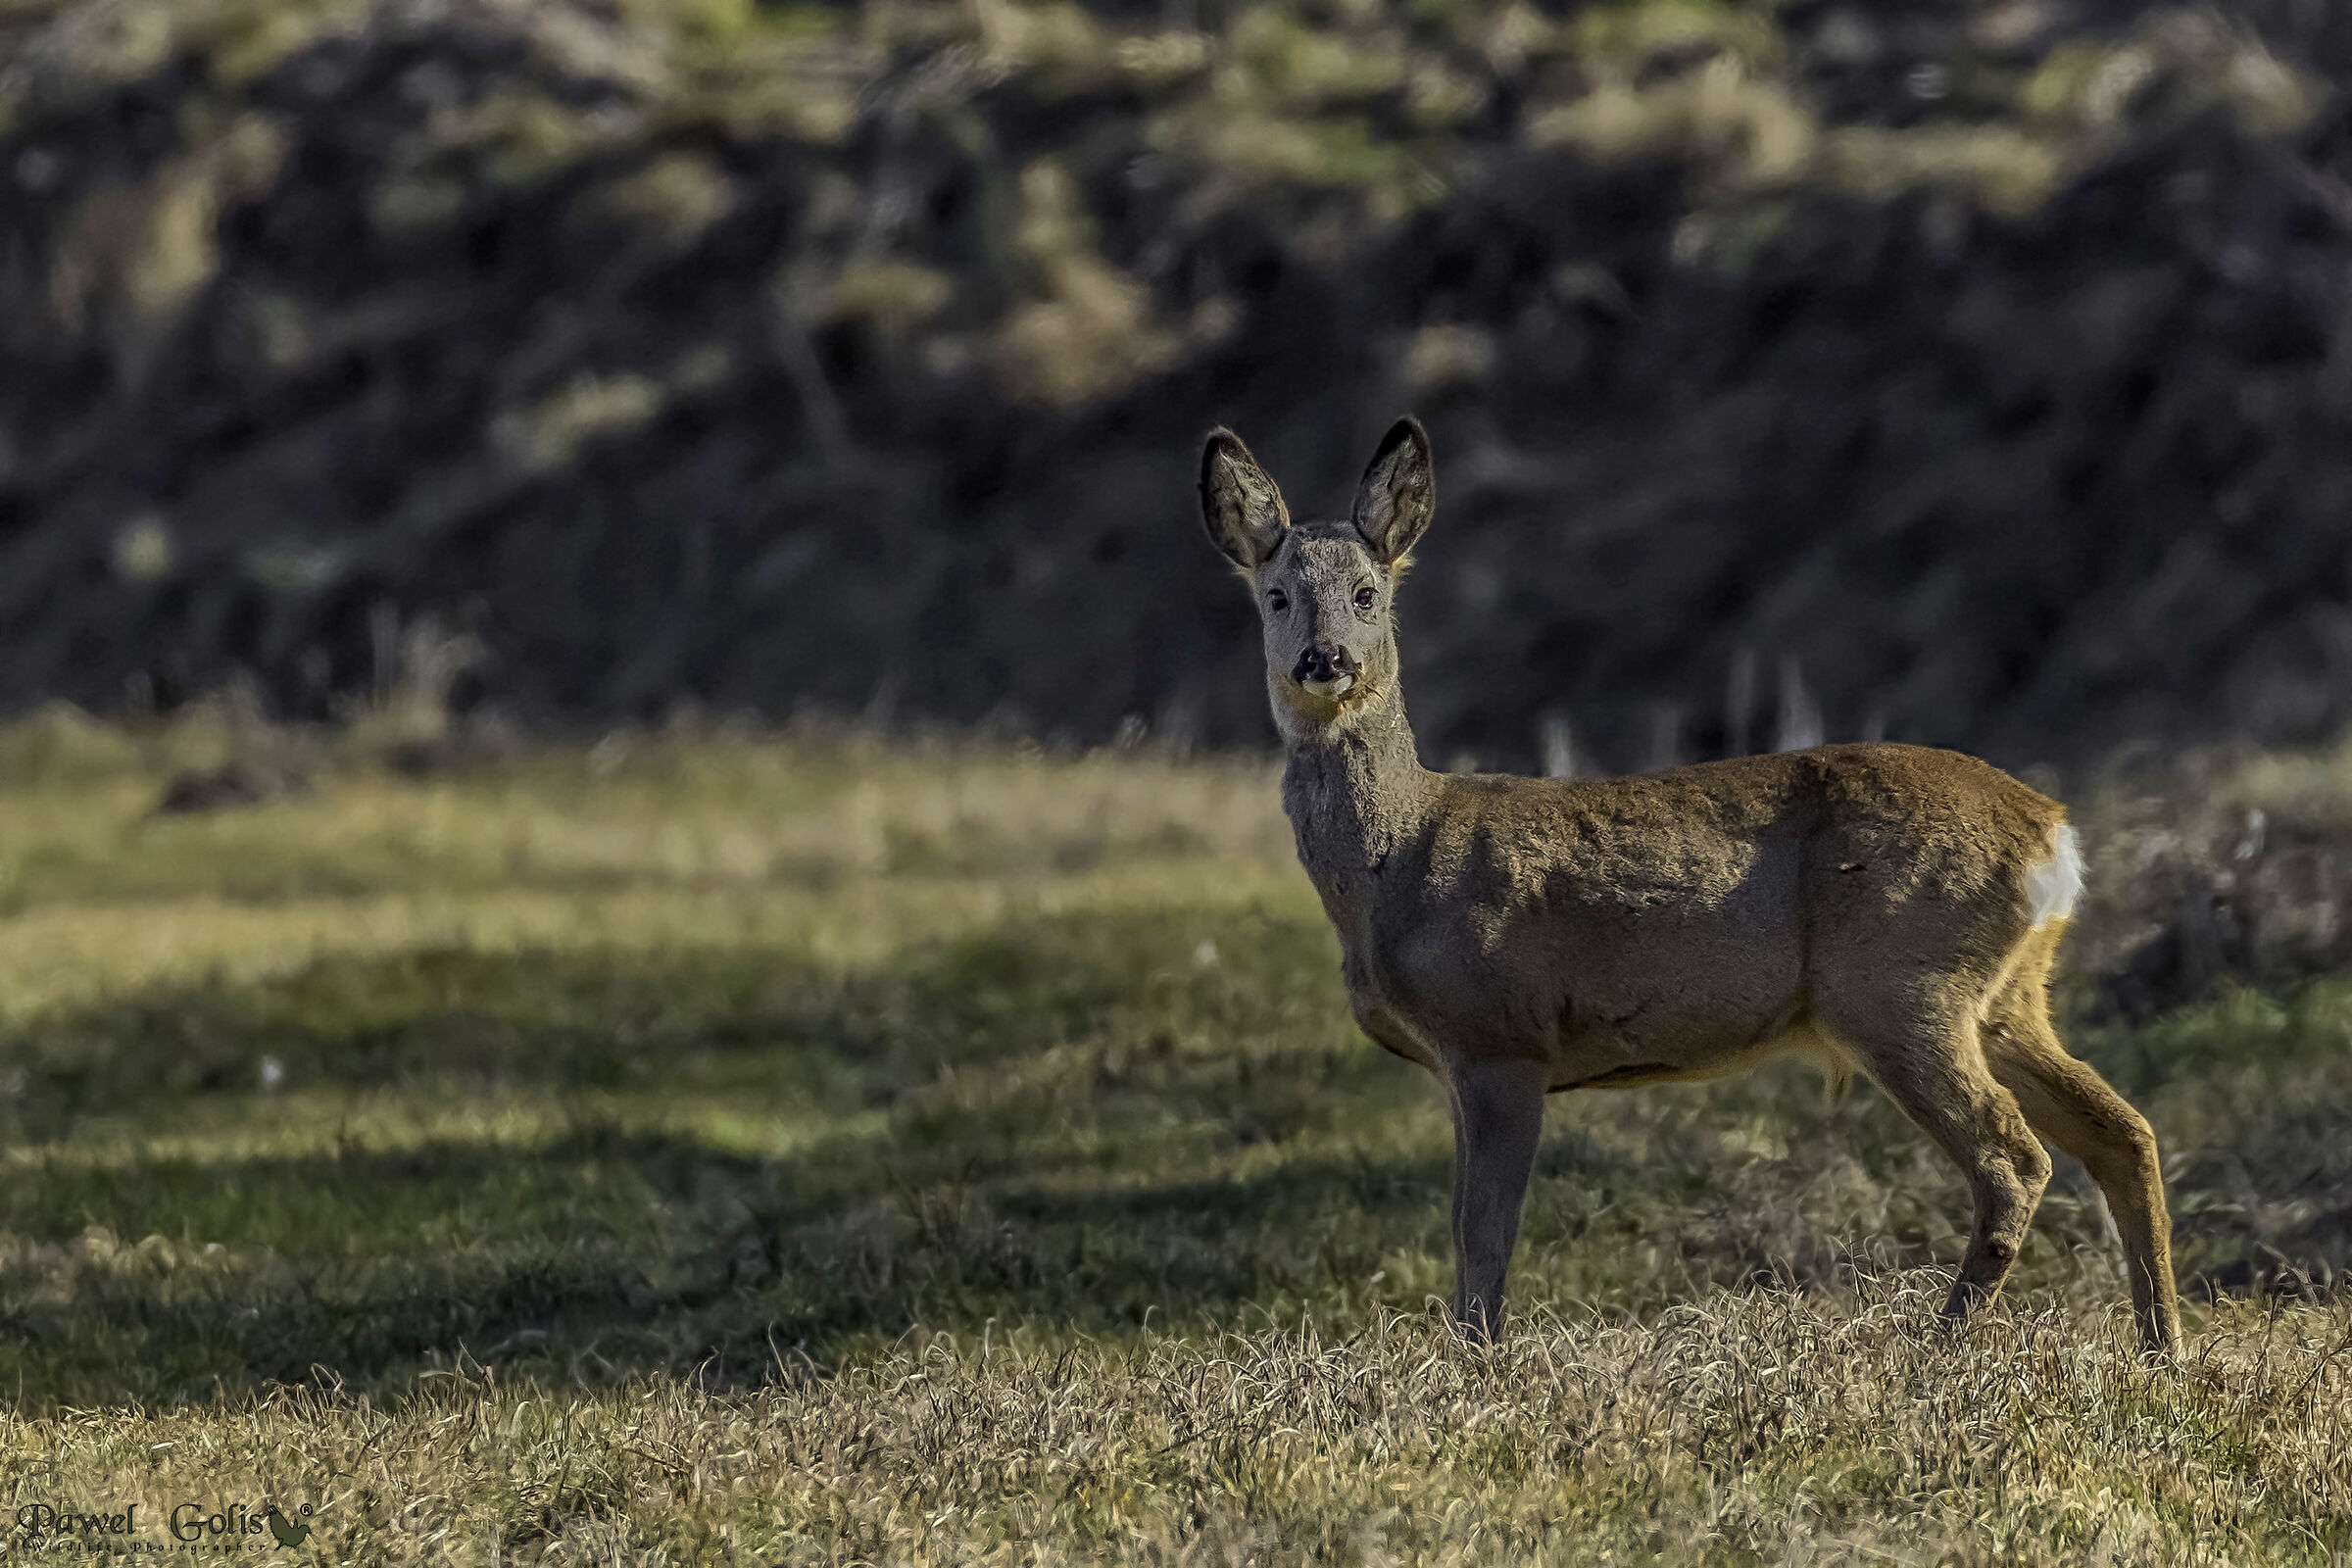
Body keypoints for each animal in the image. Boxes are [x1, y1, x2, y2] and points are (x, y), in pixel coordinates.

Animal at [1194, 416, 2181, 1354]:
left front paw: (1476, 1361)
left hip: (1900, 981)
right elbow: (1466, 1228)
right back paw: (2159, 1349)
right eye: (1277, 597)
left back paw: (1942, 1344)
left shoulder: (1501, 1038)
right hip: (2006, 994)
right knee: (2123, 1131)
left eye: (1369, 593)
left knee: (2016, 1157)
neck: (1398, 862)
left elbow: (1484, 1234)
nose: (1326, 659)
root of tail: (2053, 833)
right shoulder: (1464, 1063)